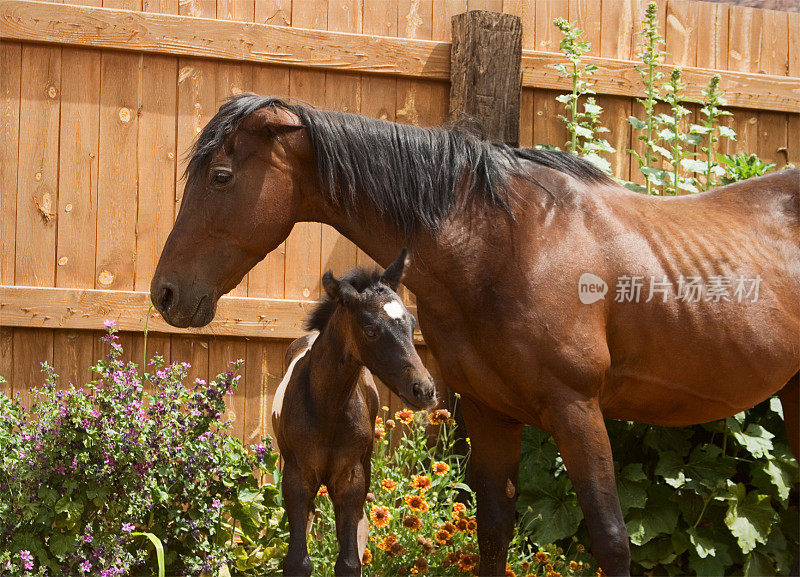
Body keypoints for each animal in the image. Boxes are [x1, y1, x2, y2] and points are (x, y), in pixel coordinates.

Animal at [270, 249, 434, 576]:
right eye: (370, 330)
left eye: (412, 324)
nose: (424, 389)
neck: (327, 409)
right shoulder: (297, 475)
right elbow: (297, 560)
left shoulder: (351, 478)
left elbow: (348, 561)